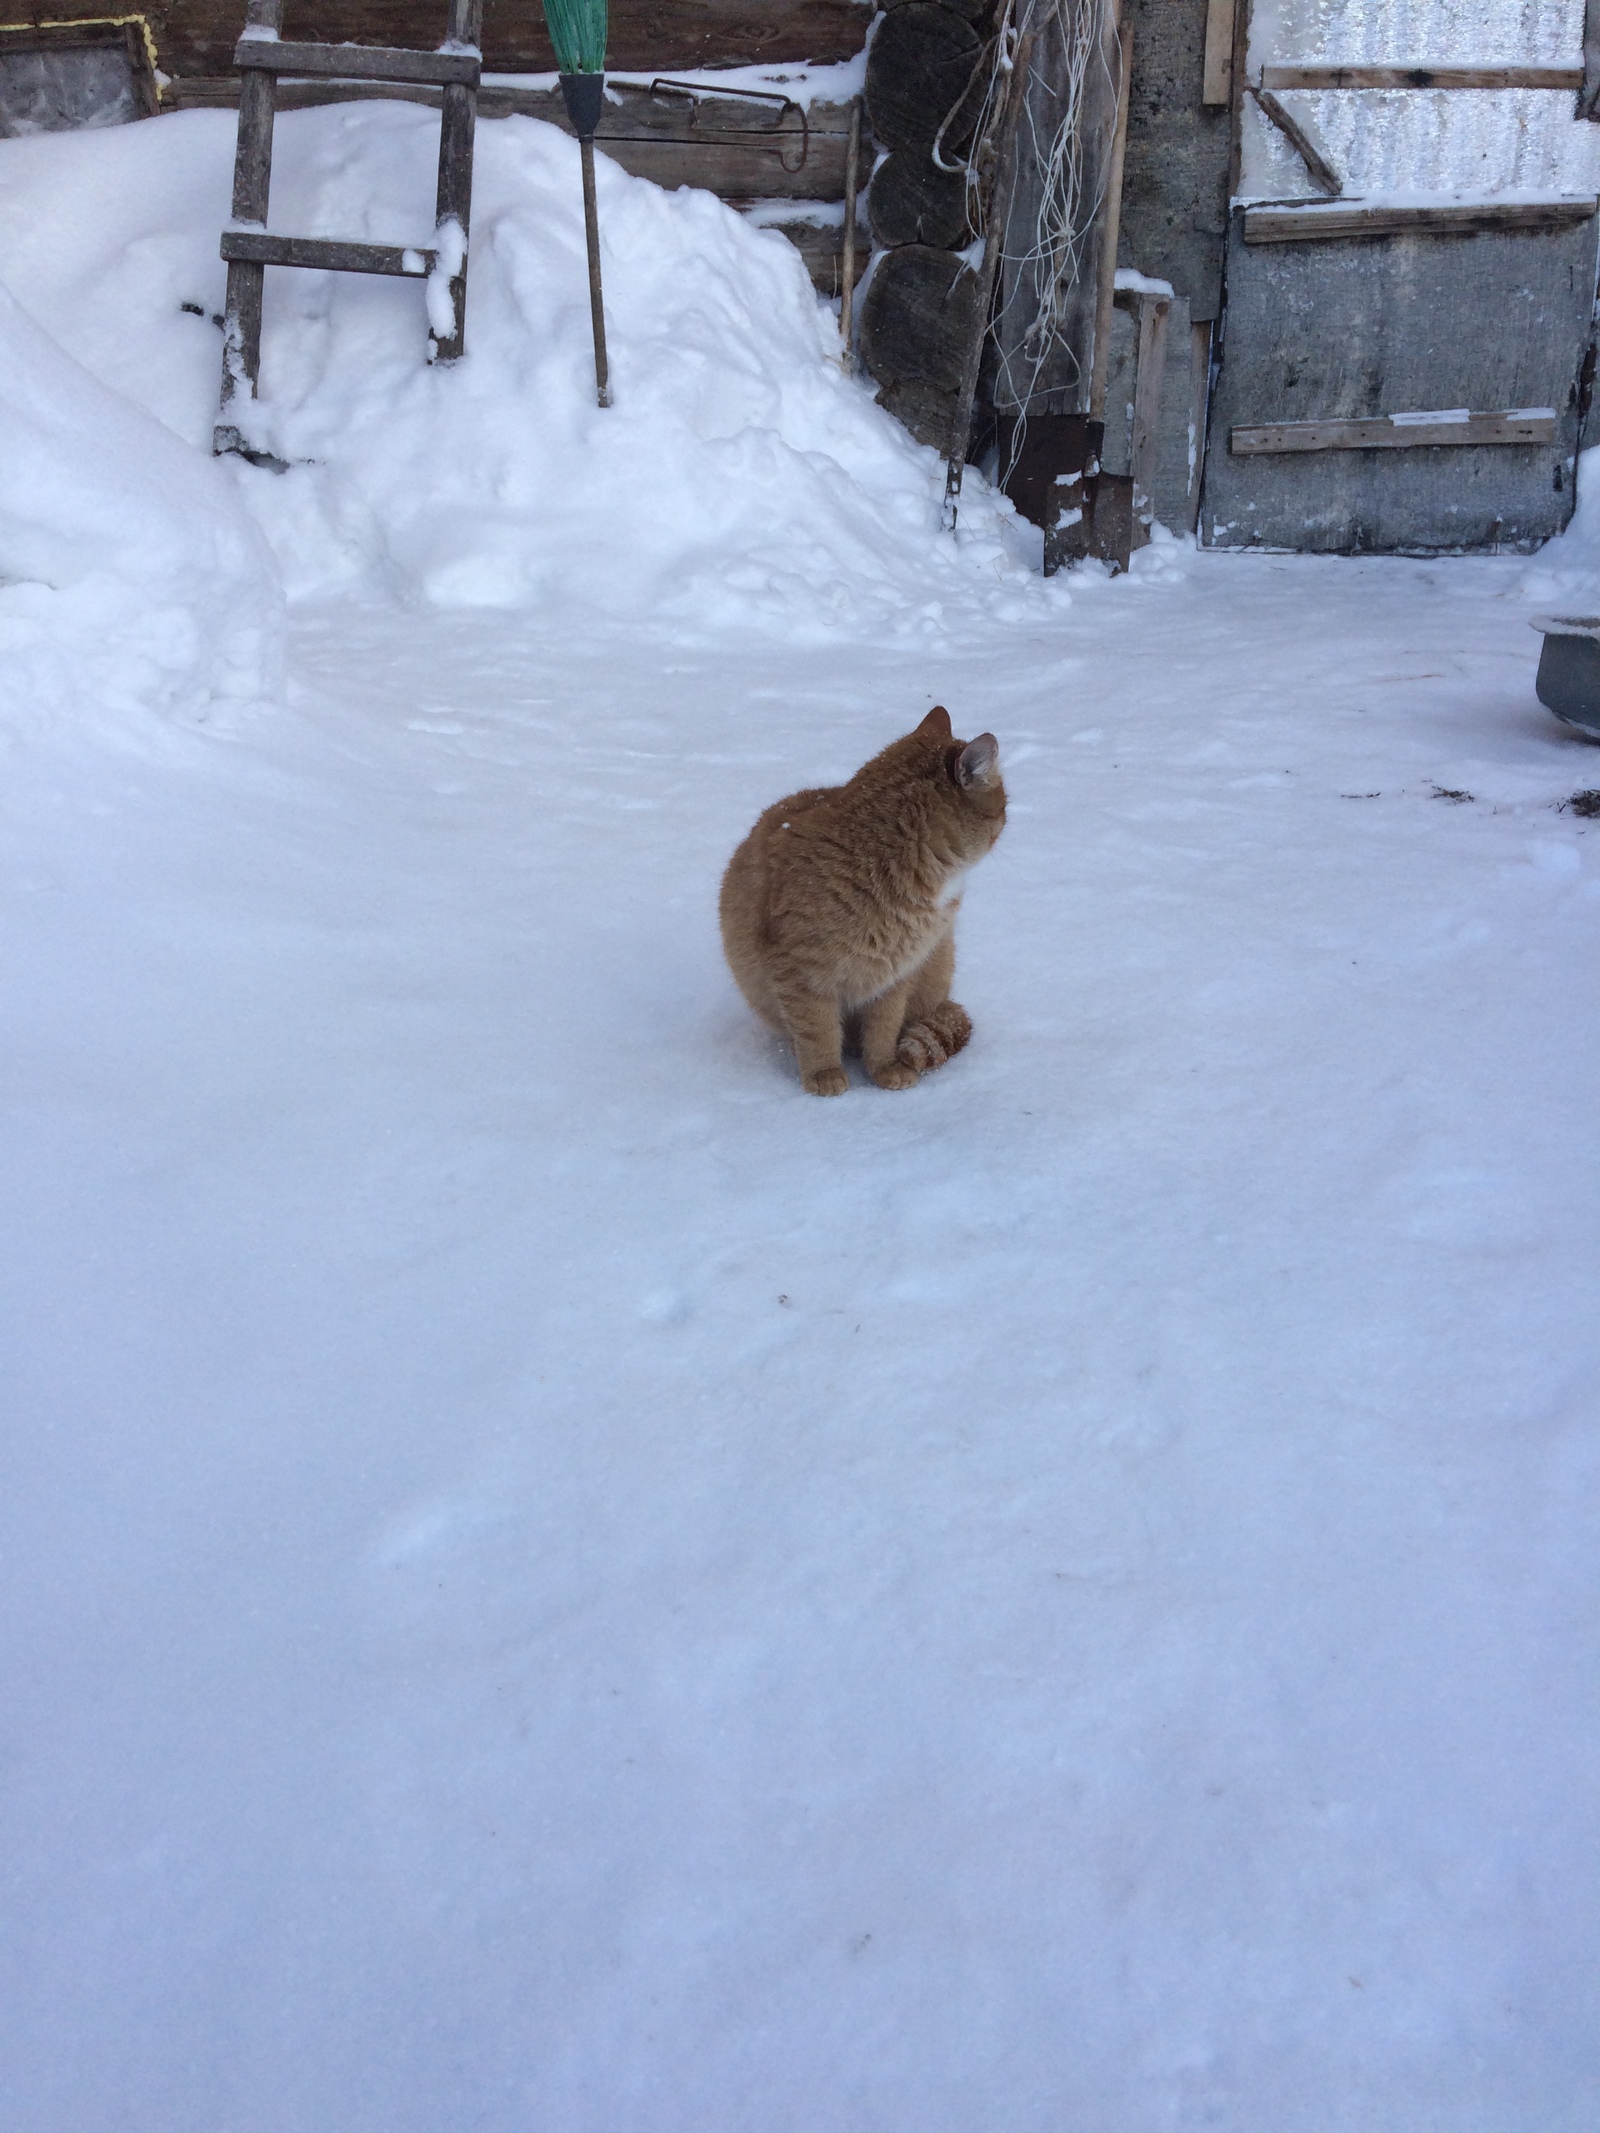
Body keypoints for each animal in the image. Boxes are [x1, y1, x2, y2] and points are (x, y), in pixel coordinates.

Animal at [725, 708, 1006, 1092]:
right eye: (1003, 804)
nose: (1007, 817)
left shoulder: (895, 978)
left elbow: (883, 1030)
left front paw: (884, 1068)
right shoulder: (800, 975)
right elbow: (817, 1030)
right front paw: (824, 1073)